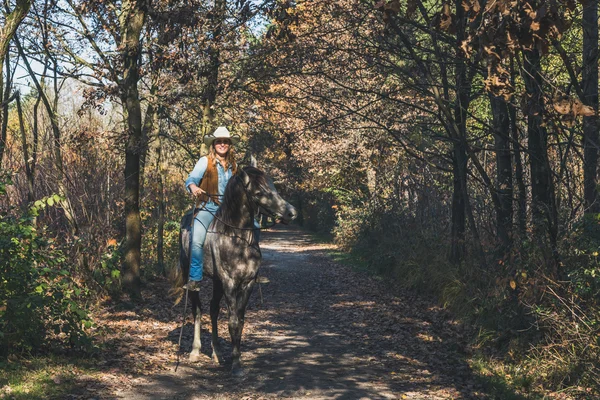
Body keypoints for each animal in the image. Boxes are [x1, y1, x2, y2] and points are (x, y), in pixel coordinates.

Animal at [179, 166, 298, 376]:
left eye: (273, 188)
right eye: (258, 193)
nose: (291, 213)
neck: (236, 238)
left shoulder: (247, 283)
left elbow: (240, 321)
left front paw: (237, 358)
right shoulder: (230, 283)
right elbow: (233, 321)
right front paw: (236, 364)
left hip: (217, 282)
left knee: (213, 309)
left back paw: (216, 353)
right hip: (191, 276)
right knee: (197, 310)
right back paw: (195, 351)